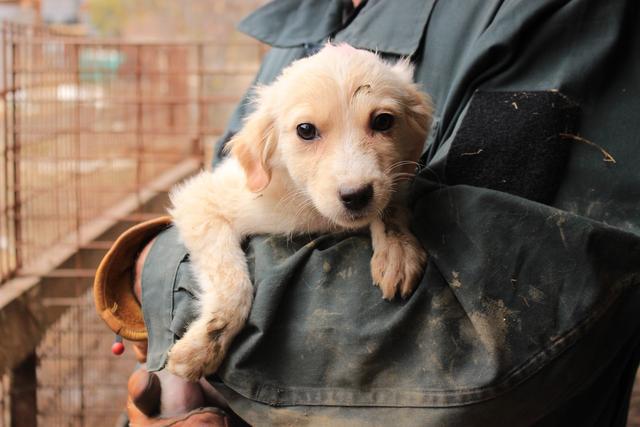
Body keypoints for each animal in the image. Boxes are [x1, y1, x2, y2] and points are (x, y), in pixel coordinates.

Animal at [168, 43, 432, 382]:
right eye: (305, 130)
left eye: (383, 121)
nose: (356, 196)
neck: (312, 210)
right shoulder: (202, 200)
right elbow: (233, 280)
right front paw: (205, 343)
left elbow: (391, 205)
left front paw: (398, 249)